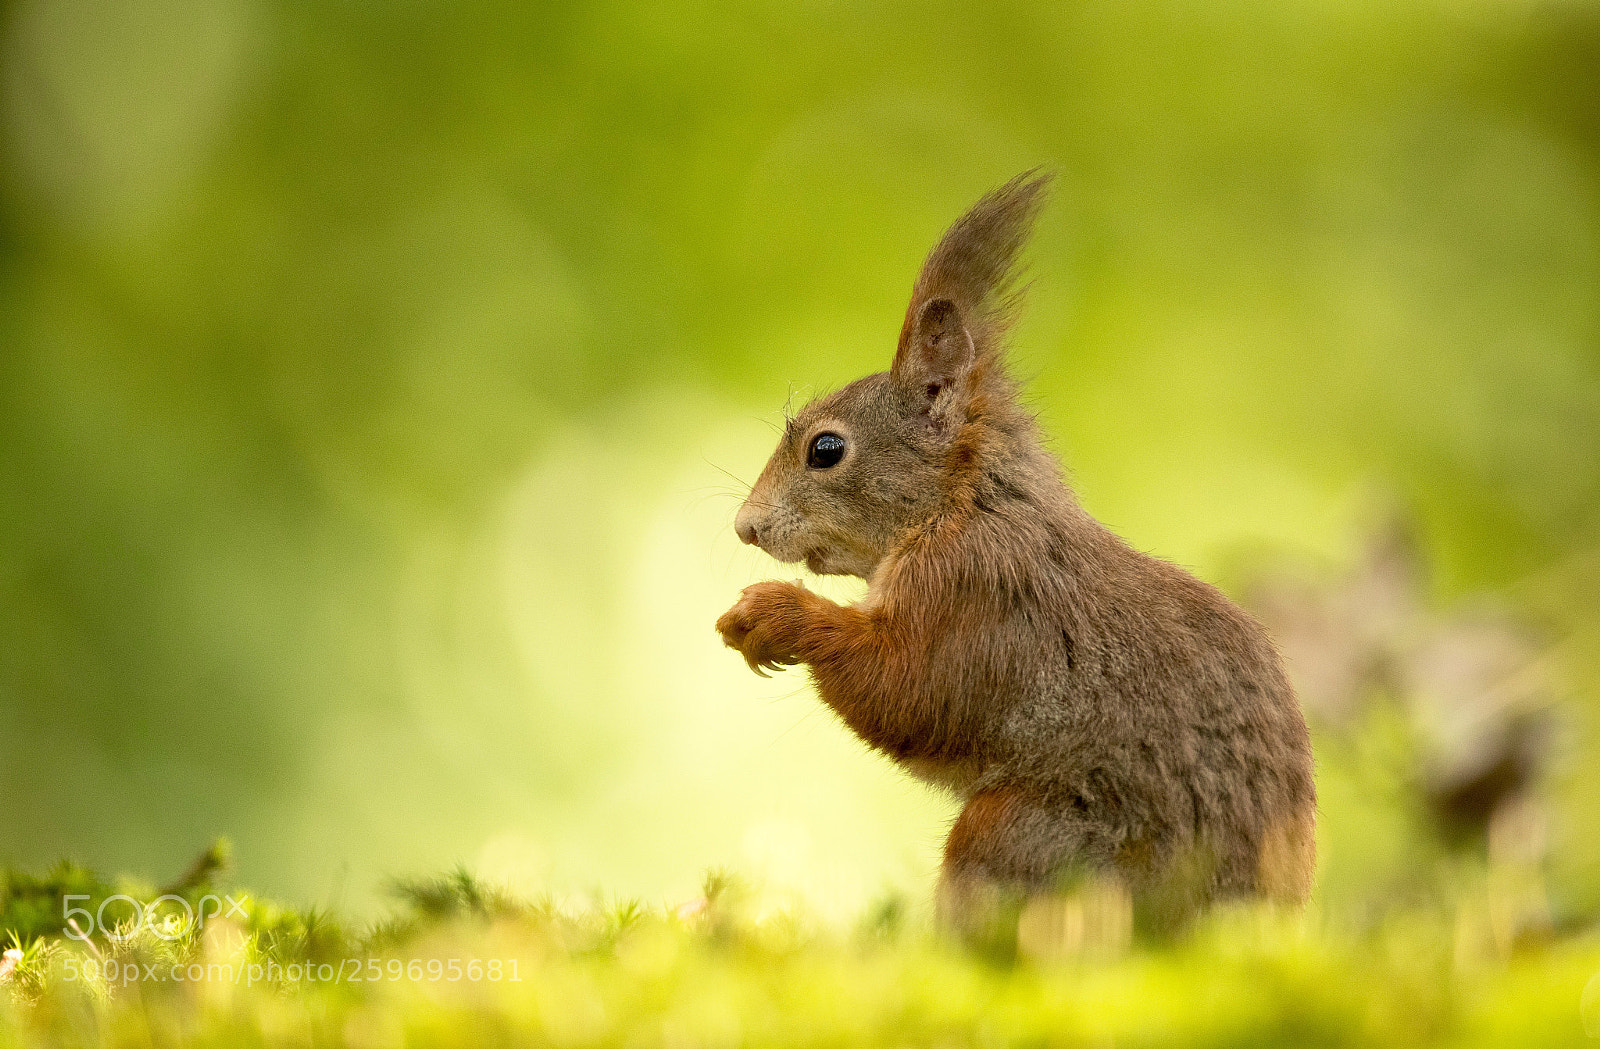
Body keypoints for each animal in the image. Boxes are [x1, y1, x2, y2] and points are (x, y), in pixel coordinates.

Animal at [716, 172, 1315, 932]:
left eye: (826, 449)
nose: (746, 527)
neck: (964, 504)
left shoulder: (976, 590)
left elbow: (909, 687)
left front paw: (771, 613)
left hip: (1030, 838)